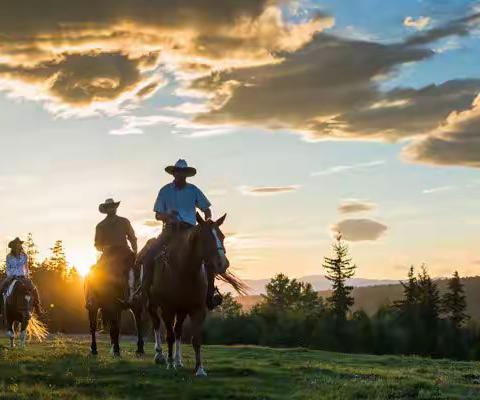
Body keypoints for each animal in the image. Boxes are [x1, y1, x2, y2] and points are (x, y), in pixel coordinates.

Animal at [143, 212, 230, 376]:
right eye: (206, 238)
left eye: (222, 236)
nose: (223, 263)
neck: (184, 270)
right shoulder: (168, 309)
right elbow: (169, 335)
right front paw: (170, 364)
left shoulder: (197, 309)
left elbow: (195, 339)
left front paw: (199, 369)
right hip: (153, 304)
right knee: (157, 324)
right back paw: (160, 355)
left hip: (182, 309)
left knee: (178, 330)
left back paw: (178, 361)